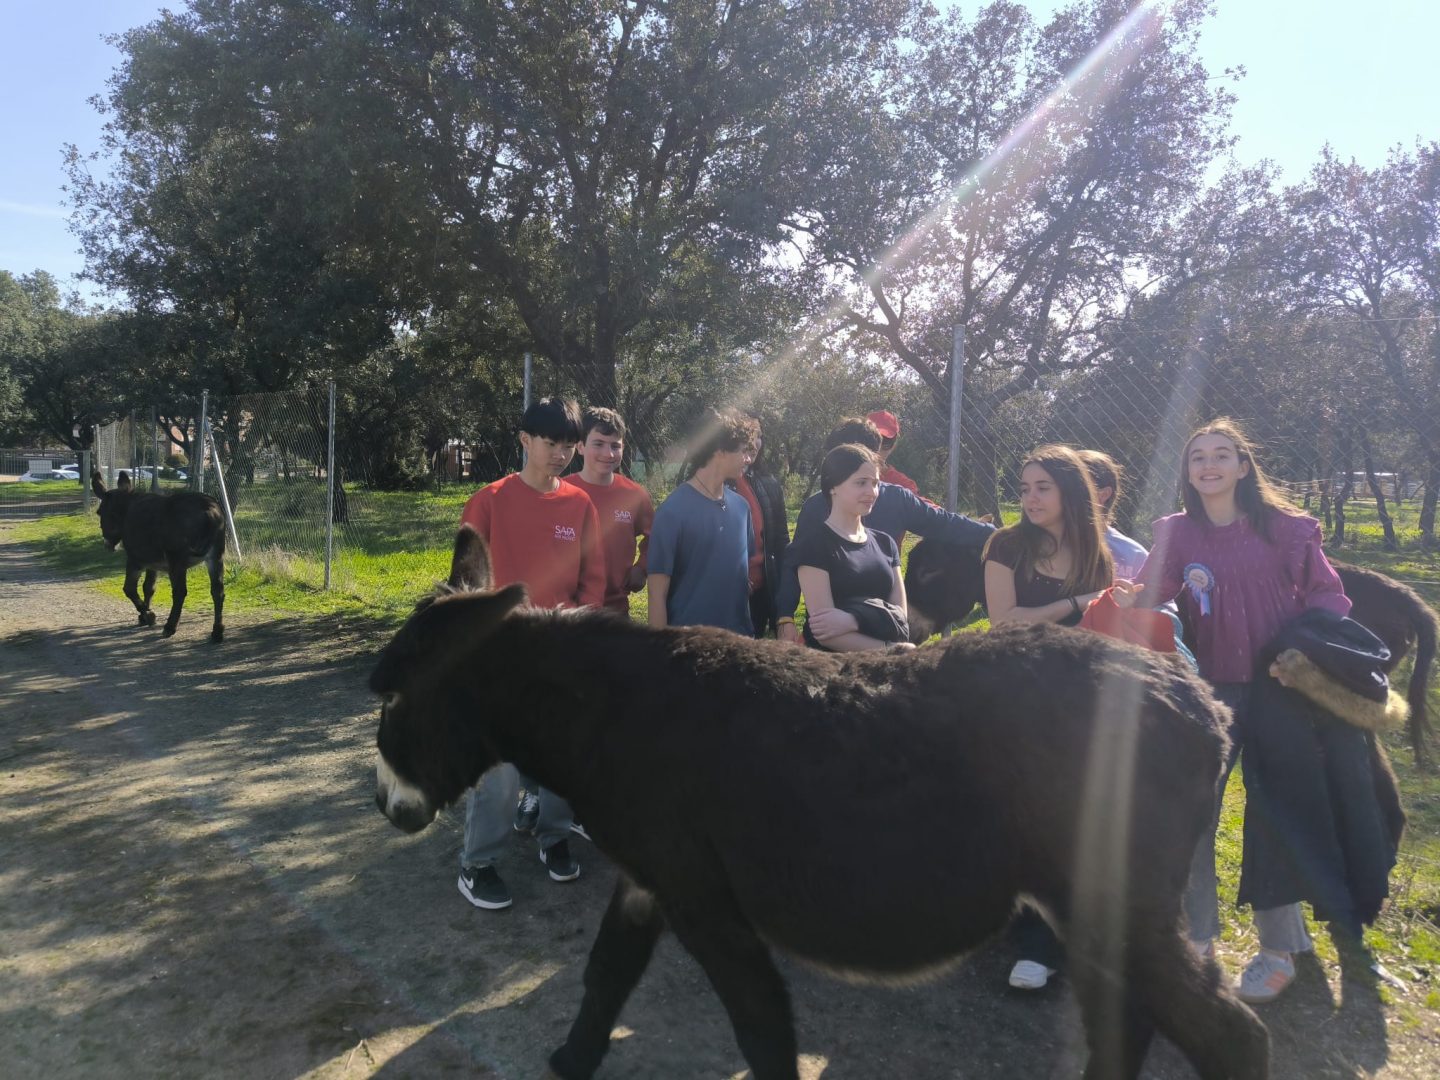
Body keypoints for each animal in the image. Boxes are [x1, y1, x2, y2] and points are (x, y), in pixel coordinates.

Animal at [90, 470, 226, 642]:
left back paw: (170, 627)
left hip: (177, 561)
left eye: (99, 512)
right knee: (217, 591)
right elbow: (148, 587)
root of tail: (209, 511)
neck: (126, 510)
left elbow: (129, 589)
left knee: (180, 592)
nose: (108, 545)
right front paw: (143, 616)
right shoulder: (152, 563)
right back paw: (217, 631)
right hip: (215, 557)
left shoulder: (135, 560)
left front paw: (149, 615)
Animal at [369, 526, 1268, 1080]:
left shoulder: (704, 901)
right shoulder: (649, 879)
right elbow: (605, 976)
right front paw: (569, 1061)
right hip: (1091, 905)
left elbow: (763, 1026)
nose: (385, 806)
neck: (610, 712)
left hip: (1112, 896)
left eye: (395, 698)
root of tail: (1201, 703)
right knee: (1128, 1020)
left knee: (1229, 1034)